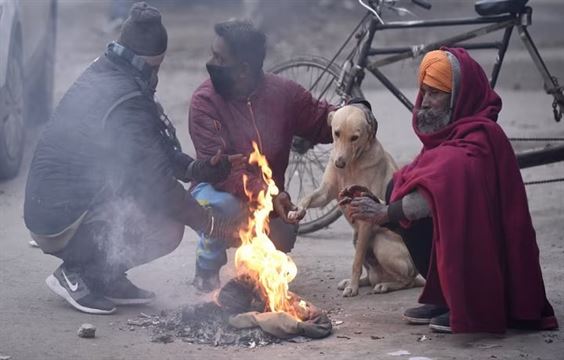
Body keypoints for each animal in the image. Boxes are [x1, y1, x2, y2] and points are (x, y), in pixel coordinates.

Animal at [288, 102, 420, 296]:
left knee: (407, 280)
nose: (339, 163)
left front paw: (353, 288)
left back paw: (385, 285)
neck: (350, 166)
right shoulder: (326, 193)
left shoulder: (365, 218)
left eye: (355, 137)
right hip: (356, 238)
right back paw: (362, 281)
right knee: (372, 275)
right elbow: (308, 197)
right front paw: (297, 211)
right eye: (336, 133)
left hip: (380, 242)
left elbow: (356, 262)